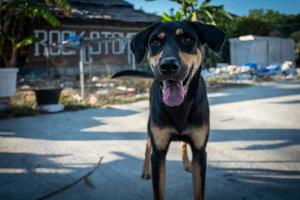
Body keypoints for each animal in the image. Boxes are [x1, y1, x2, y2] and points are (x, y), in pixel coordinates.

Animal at [113, 21, 224, 200]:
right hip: (150, 127)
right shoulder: (159, 153)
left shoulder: (200, 152)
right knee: (147, 145)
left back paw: (187, 163)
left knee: (183, 143)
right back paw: (145, 170)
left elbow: (198, 190)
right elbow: (158, 190)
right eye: (155, 42)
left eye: (187, 39)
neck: (180, 107)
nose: (168, 66)